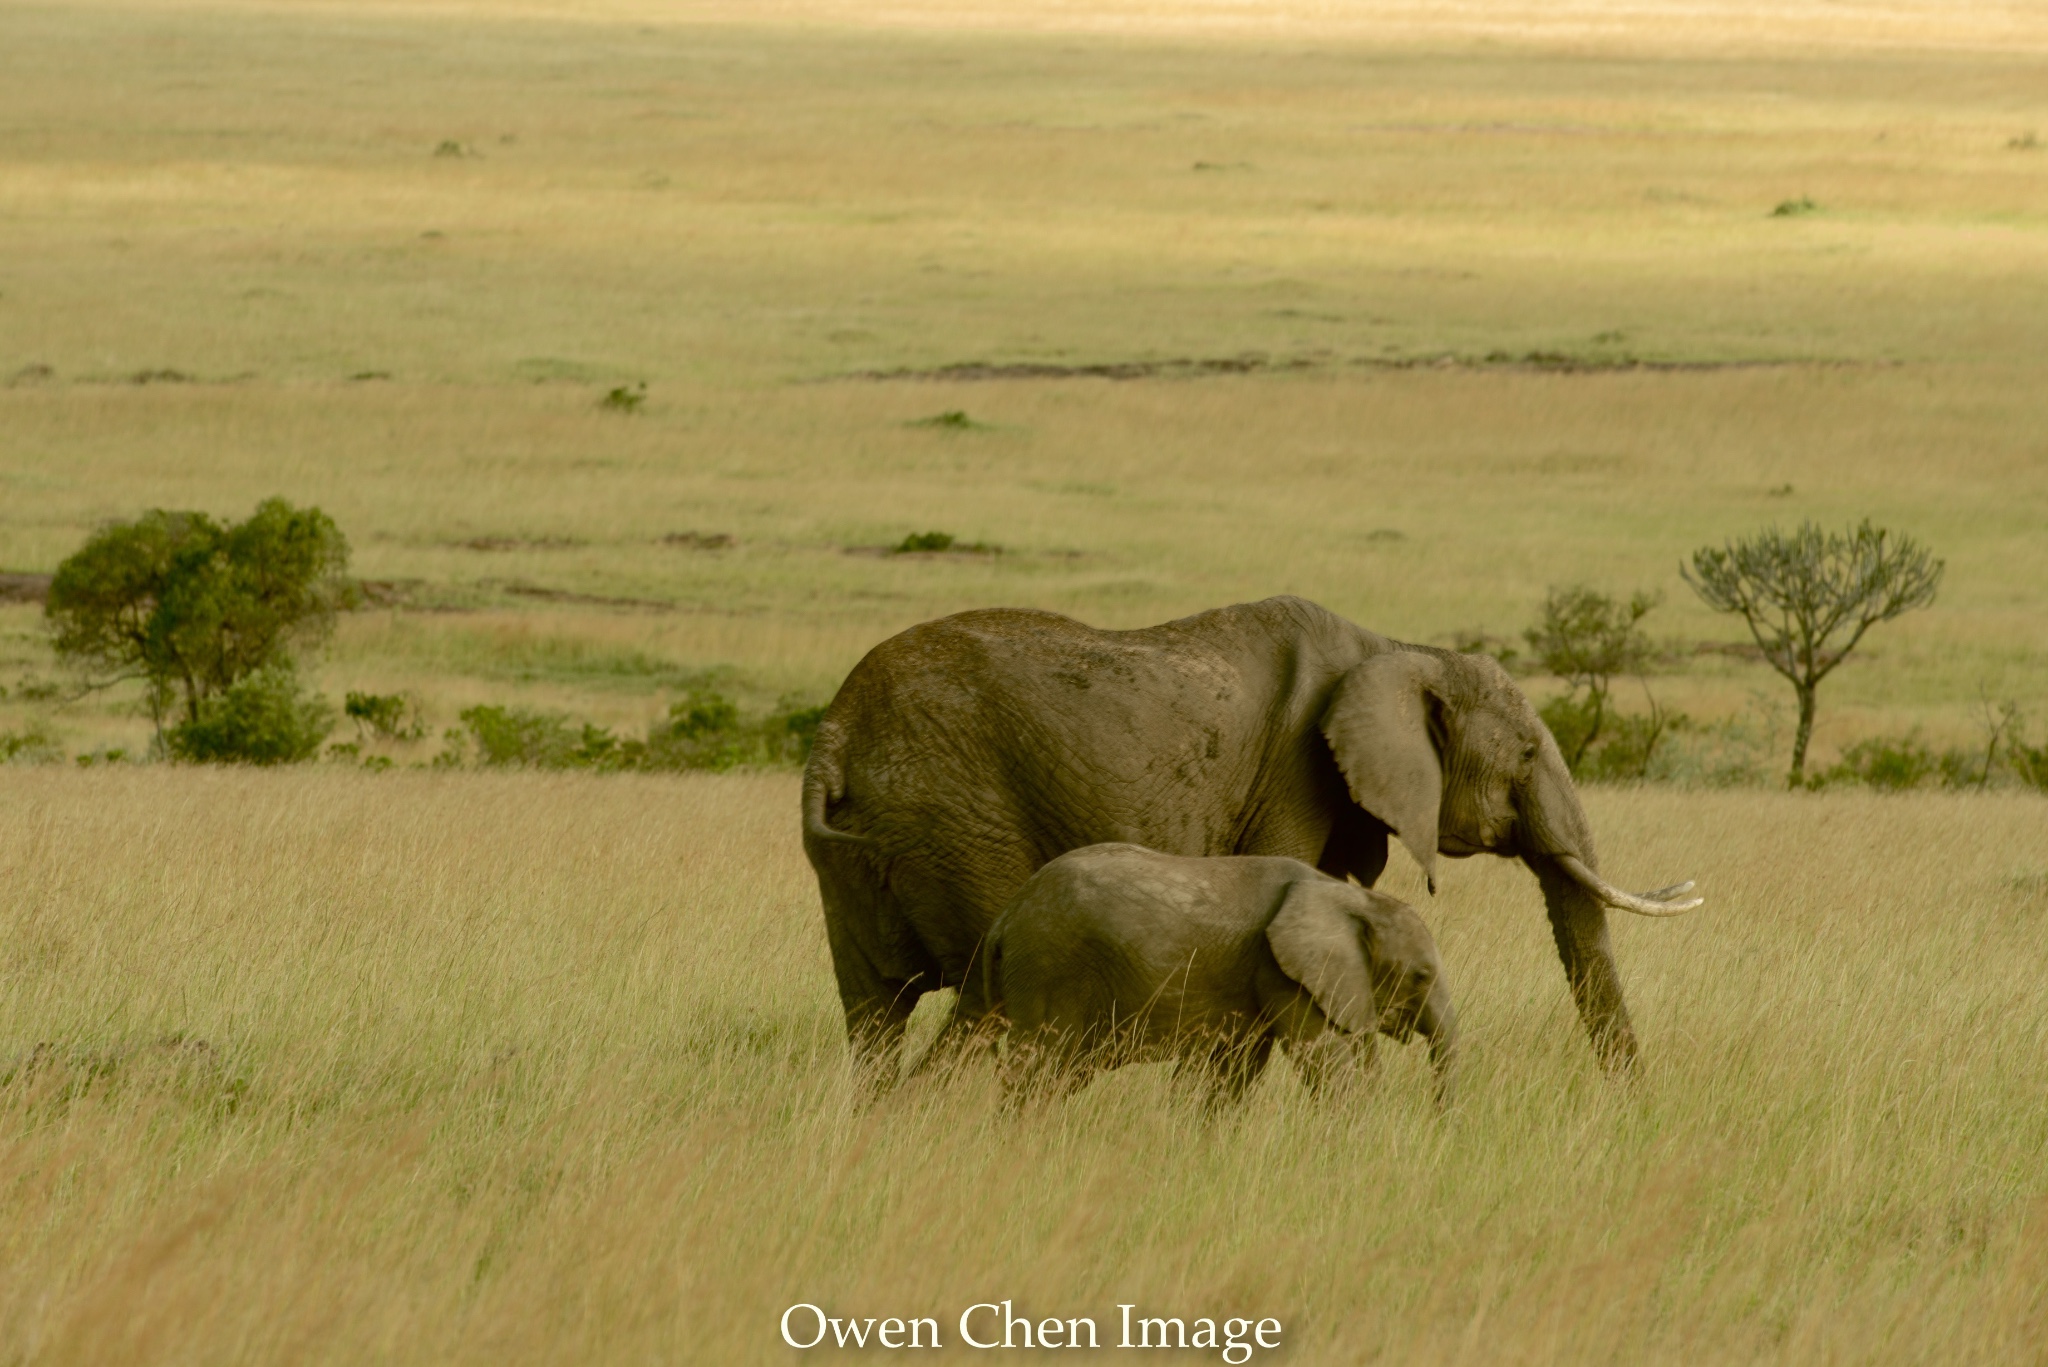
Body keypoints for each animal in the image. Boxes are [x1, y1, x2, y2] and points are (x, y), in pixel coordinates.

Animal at [987, 844, 1458, 1114]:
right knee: (1039, 1069)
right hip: (1049, 969)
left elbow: (1236, 1072)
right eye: (1421, 975)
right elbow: (1326, 1062)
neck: (1351, 898)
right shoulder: (1282, 973)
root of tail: (1010, 912)